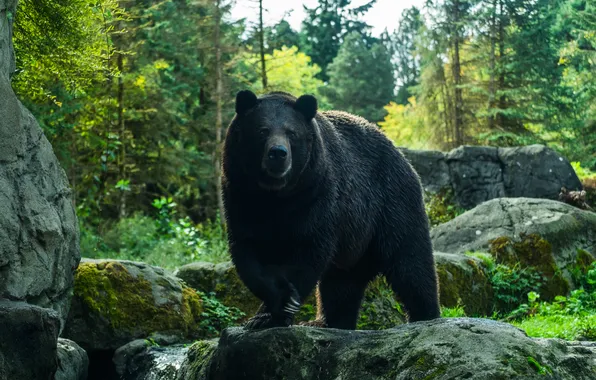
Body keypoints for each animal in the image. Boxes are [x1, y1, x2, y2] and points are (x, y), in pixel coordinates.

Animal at [221, 90, 440, 330]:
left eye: (291, 132)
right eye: (262, 130)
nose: (278, 153)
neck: (277, 195)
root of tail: (403, 157)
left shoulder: (317, 196)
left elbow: (308, 249)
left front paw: (279, 308)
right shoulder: (241, 196)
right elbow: (248, 253)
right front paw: (268, 309)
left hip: (390, 204)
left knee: (411, 262)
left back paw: (426, 315)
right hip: (354, 246)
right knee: (341, 286)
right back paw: (331, 322)